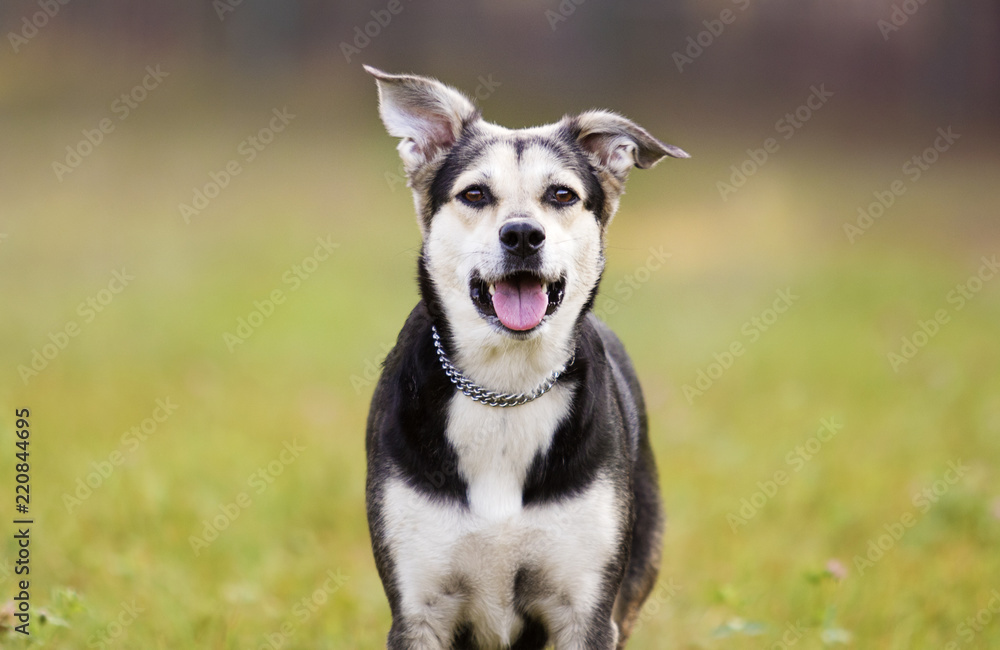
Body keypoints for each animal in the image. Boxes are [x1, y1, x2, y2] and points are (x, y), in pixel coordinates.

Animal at [366, 67, 688, 648]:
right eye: (474, 193)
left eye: (561, 194)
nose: (521, 234)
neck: (506, 385)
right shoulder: (418, 610)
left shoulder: (587, 611)